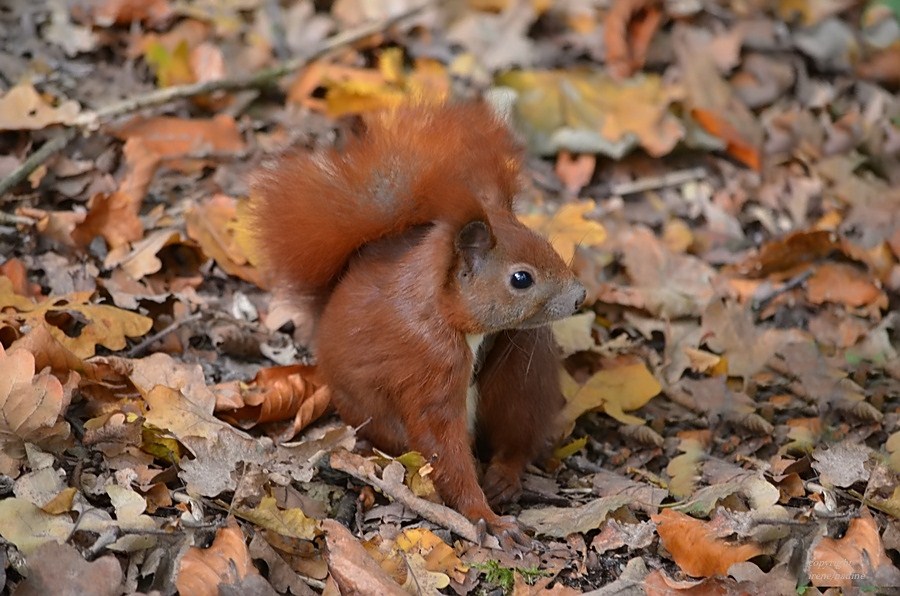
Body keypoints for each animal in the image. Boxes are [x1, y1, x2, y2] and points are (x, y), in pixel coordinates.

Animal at [255, 102, 584, 548]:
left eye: (547, 242)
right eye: (521, 279)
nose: (579, 295)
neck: (446, 314)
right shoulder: (430, 365)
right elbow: (441, 445)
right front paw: (486, 517)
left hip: (521, 365)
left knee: (519, 428)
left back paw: (505, 475)